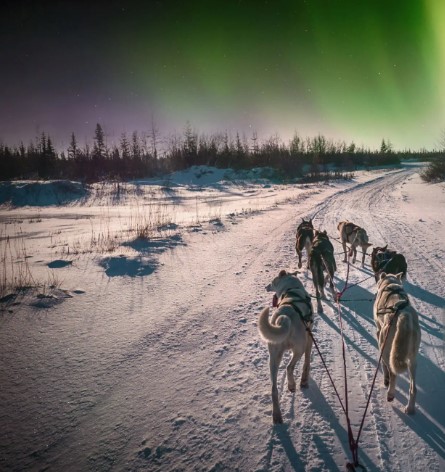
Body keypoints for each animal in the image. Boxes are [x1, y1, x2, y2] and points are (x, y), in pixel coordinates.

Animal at [256, 270, 312, 424]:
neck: (291, 289)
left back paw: (277, 416)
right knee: (289, 367)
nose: (266, 287)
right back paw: (292, 385)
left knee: (274, 389)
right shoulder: (309, 338)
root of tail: (284, 316)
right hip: (298, 348)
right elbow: (307, 362)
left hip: (273, 358)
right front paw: (304, 380)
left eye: (272, 282)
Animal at [372, 272, 420, 412]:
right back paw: (410, 408)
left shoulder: (379, 333)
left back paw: (390, 392)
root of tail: (404, 315)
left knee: (392, 373)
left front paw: (385, 379)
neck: (391, 284)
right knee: (413, 389)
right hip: (412, 360)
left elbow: (384, 366)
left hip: (386, 349)